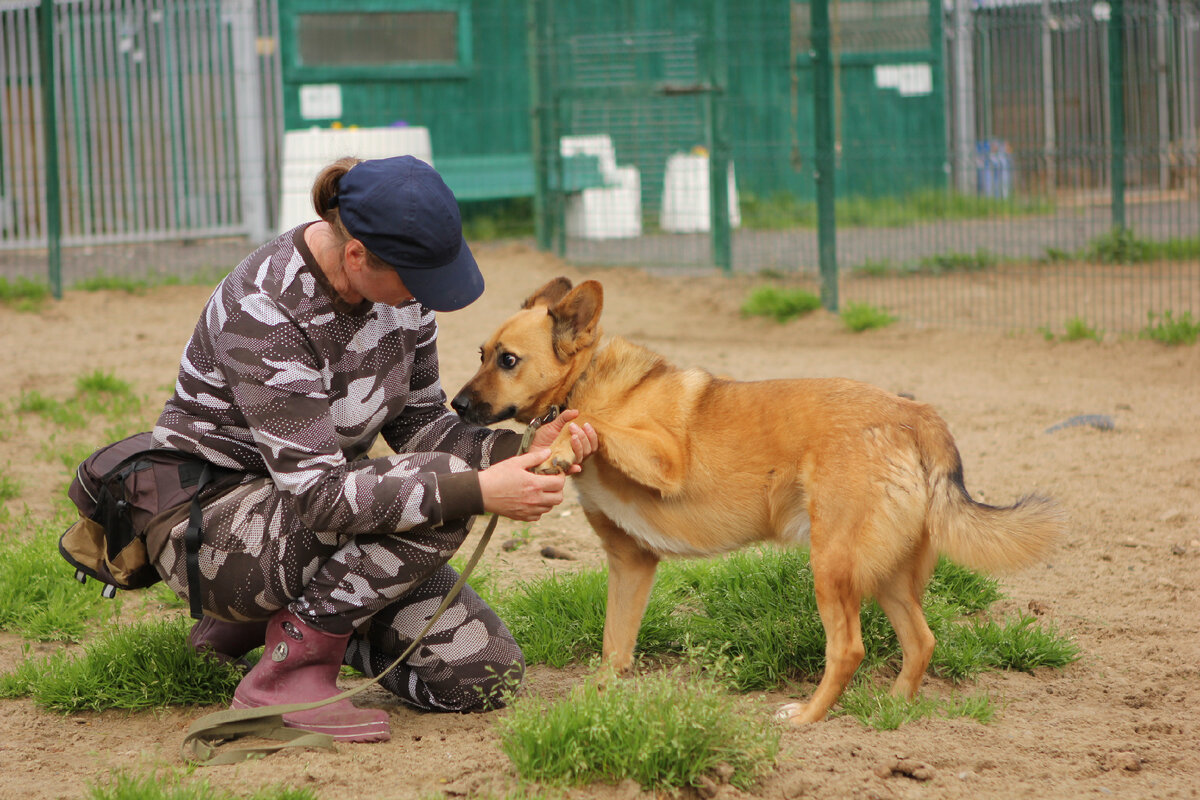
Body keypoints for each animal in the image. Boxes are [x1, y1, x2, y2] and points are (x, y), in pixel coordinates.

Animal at [451, 277, 1060, 724]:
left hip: (832, 567)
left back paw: (807, 718)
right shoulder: (630, 563)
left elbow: (595, 425)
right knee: (921, 642)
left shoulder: (666, 460)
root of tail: (917, 414)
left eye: (508, 360)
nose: (455, 406)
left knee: (849, 650)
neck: (586, 382)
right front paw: (598, 704)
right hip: (883, 573)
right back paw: (890, 712)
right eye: (480, 353)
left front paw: (563, 445)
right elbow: (614, 649)